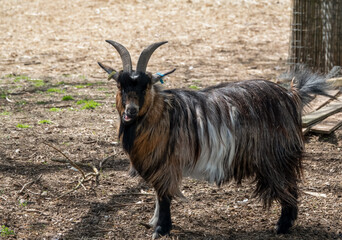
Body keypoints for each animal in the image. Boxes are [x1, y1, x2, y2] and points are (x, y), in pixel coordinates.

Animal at [97, 40, 332, 238]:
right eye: (120, 86)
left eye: (145, 86)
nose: (131, 111)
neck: (161, 114)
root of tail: (291, 95)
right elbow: (157, 194)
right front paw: (154, 222)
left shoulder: (166, 164)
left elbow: (164, 196)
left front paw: (161, 229)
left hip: (277, 156)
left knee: (288, 186)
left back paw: (282, 226)